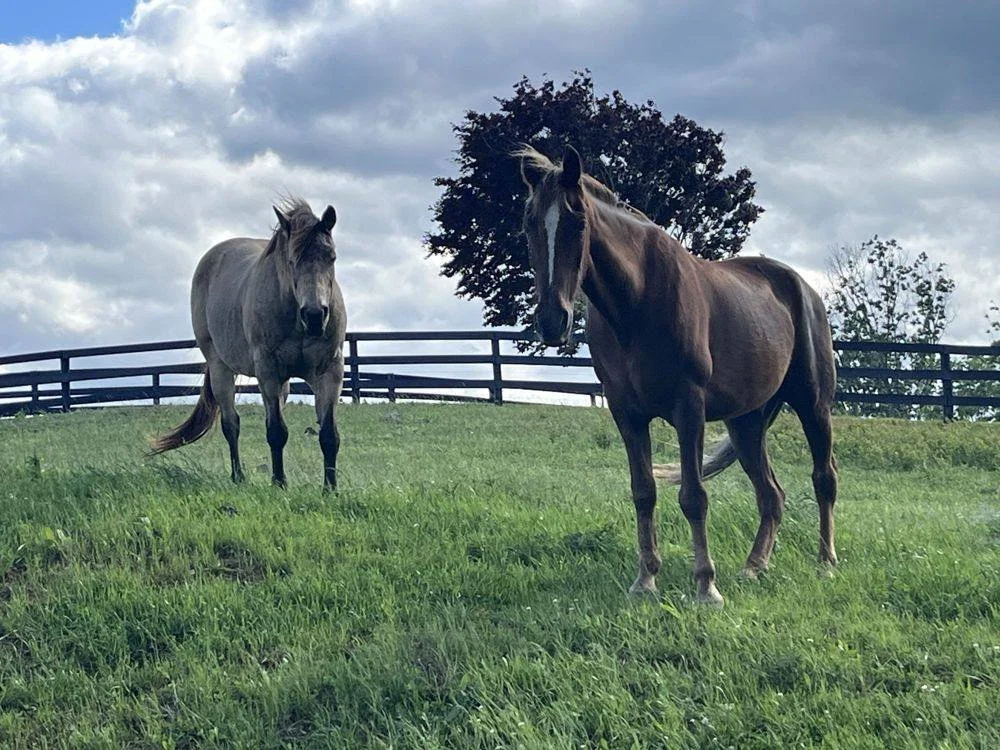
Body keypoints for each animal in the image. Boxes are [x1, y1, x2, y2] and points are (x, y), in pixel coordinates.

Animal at [150, 198, 347, 492]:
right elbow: (276, 432)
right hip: (220, 369)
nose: (314, 315)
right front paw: (279, 482)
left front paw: (330, 488)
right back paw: (238, 476)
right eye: (292, 261)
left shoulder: (330, 372)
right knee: (231, 424)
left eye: (331, 257)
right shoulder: (267, 370)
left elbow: (328, 434)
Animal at [517, 145, 838, 606]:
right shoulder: (627, 413)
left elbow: (693, 496)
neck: (636, 304)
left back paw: (826, 563)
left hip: (813, 405)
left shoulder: (689, 408)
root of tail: (802, 288)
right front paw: (645, 579)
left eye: (577, 220)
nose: (551, 320)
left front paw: (706, 585)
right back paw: (755, 567)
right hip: (747, 423)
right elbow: (643, 492)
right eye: (529, 223)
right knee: (771, 495)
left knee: (823, 478)